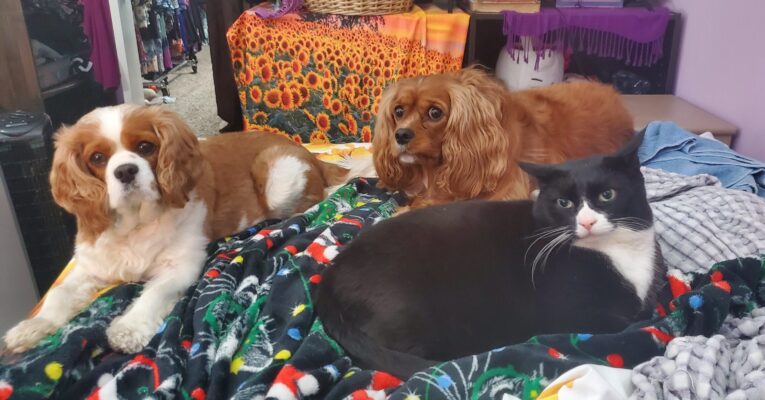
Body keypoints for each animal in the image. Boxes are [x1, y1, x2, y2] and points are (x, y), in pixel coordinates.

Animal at [2, 105, 368, 354]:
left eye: (145, 147)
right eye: (97, 158)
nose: (126, 171)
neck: (137, 222)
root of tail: (310, 154)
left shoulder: (181, 266)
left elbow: (153, 293)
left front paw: (128, 328)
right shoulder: (91, 264)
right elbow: (59, 293)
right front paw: (32, 327)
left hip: (277, 178)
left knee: (313, 199)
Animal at [314, 130, 664, 378]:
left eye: (608, 195)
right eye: (564, 203)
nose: (587, 222)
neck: (615, 250)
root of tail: (327, 281)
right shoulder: (576, 314)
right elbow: (630, 320)